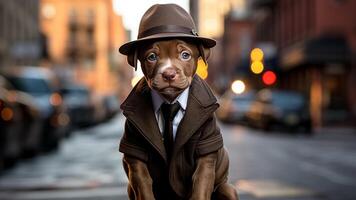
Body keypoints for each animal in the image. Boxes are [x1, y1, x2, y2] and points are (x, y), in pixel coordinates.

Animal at [119, 3, 239, 200]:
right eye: (151, 57)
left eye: (185, 55)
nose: (169, 74)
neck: (170, 102)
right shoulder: (135, 157)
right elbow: (144, 187)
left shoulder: (206, 151)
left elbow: (200, 187)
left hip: (226, 188)